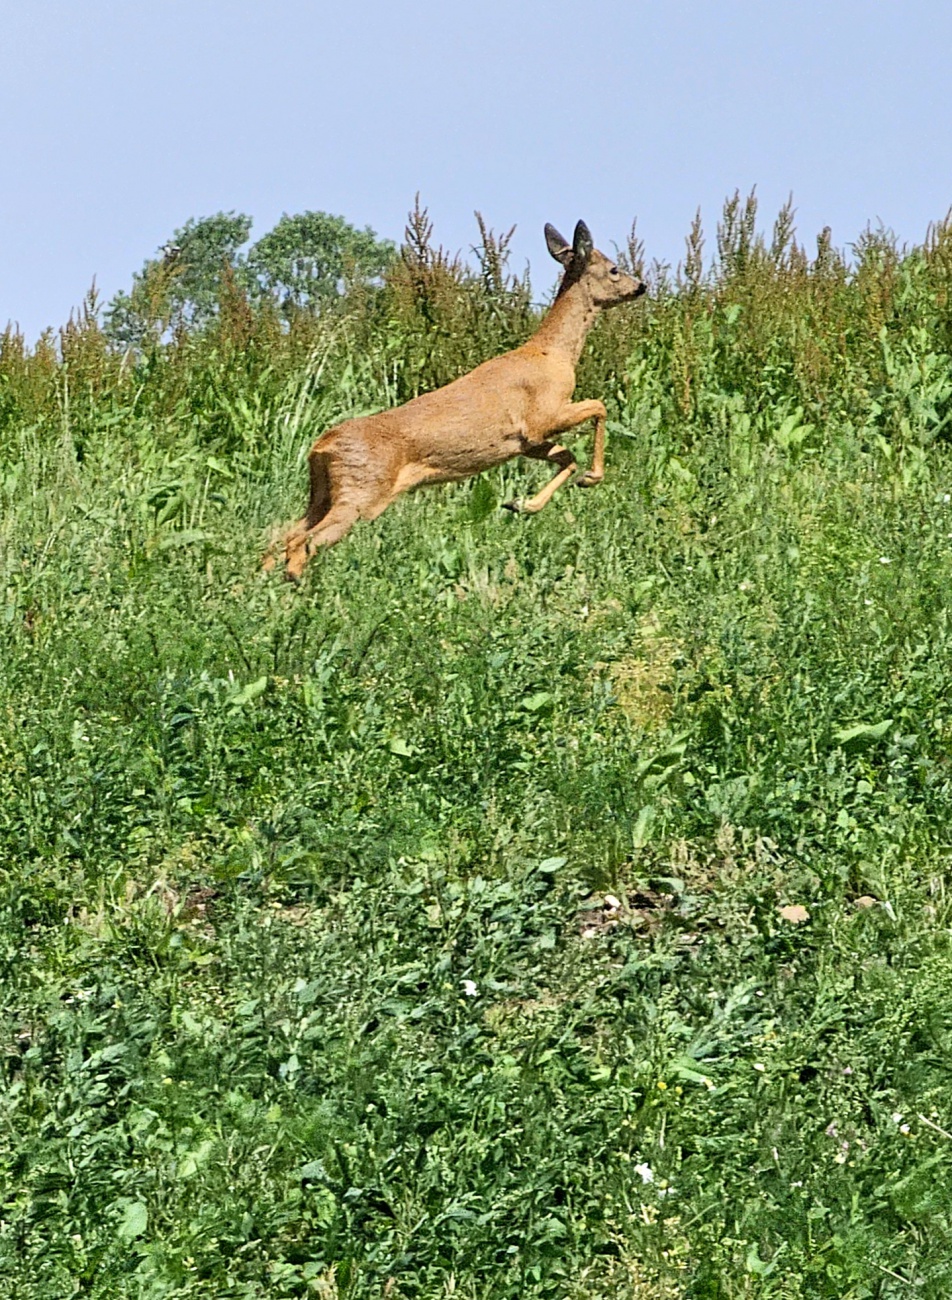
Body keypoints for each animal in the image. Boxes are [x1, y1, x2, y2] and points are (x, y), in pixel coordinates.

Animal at [270, 220, 646, 580]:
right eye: (614, 269)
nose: (641, 286)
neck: (554, 355)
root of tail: (321, 446)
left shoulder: (524, 442)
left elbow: (566, 457)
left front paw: (520, 504)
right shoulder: (542, 416)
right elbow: (599, 406)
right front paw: (591, 477)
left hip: (323, 493)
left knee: (282, 537)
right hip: (361, 493)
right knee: (303, 544)